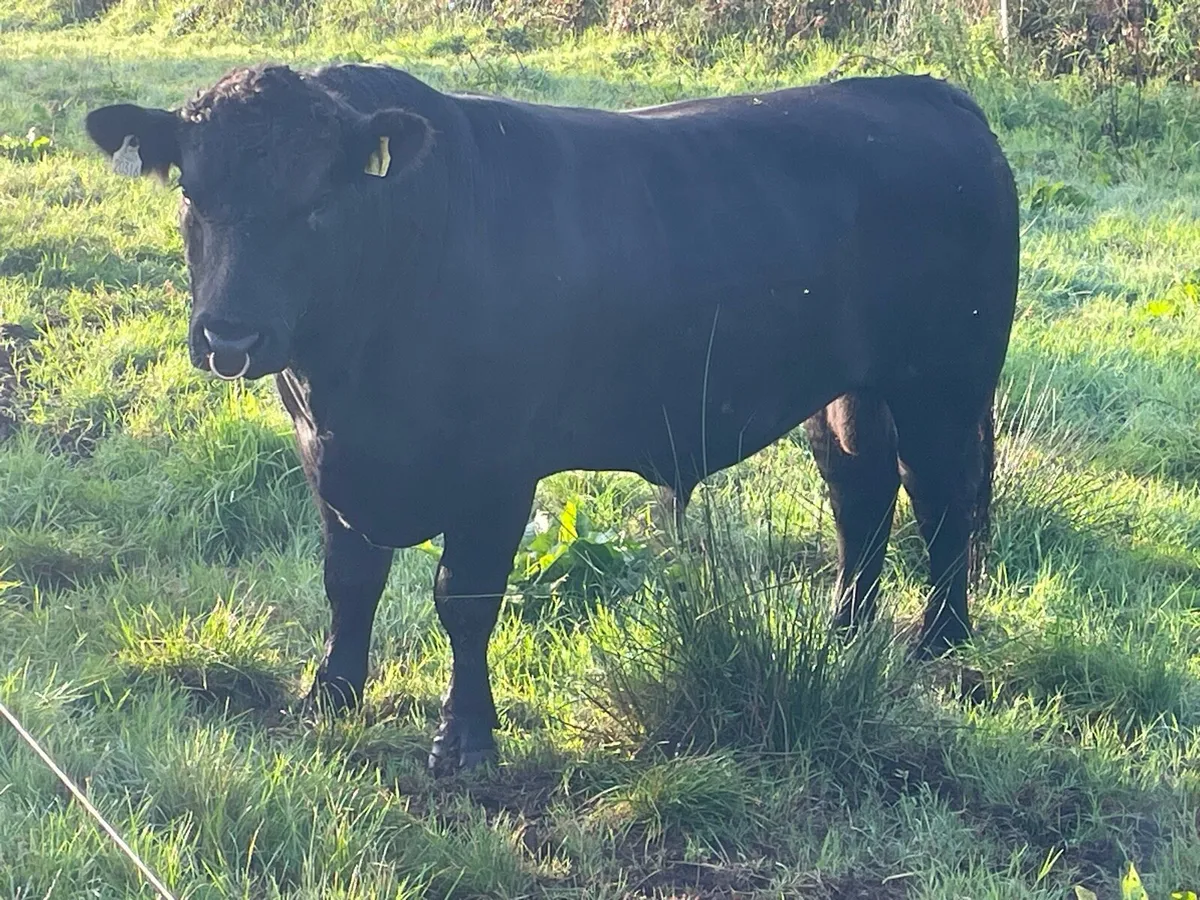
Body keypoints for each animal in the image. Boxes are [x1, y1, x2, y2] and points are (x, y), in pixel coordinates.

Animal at [85, 63, 1019, 773]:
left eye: (319, 201)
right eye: (192, 195)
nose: (229, 334)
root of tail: (930, 94)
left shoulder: (498, 469)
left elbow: (463, 601)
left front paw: (464, 741)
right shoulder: (327, 456)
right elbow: (349, 582)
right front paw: (331, 697)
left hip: (943, 383)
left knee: (939, 498)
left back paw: (937, 642)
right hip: (846, 390)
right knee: (861, 490)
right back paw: (844, 630)